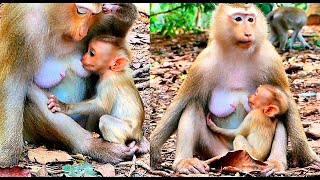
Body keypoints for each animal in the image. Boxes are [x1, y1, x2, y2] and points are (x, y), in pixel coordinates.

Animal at [0, 2, 139, 167]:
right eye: (80, 11)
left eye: (93, 14)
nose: (82, 32)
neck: (56, 21)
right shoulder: (22, 26)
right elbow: (14, 83)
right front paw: (7, 152)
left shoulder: (101, 20)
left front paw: (124, 13)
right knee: (31, 94)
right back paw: (89, 144)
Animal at [150, 3, 320, 176]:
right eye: (238, 18)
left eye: (250, 19)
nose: (248, 32)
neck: (238, 53)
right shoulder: (202, 64)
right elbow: (181, 103)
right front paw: (154, 147)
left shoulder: (271, 60)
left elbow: (288, 103)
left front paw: (308, 157)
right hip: (217, 150)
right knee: (193, 105)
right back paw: (184, 162)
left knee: (280, 117)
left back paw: (275, 163)